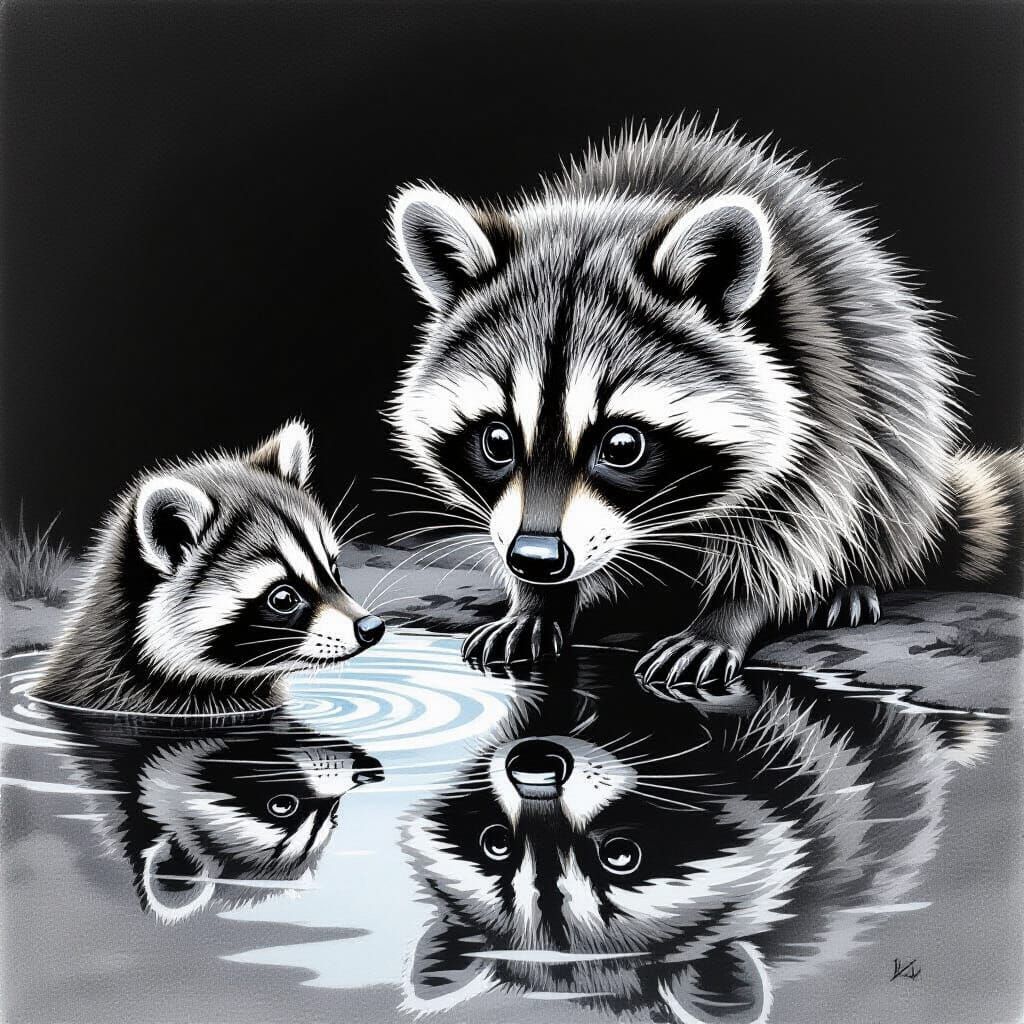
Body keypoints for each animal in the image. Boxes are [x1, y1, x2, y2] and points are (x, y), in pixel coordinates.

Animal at [387, 117, 1024, 696]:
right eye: (497, 440)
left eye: (622, 445)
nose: (536, 558)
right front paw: (537, 603)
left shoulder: (820, 392)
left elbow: (796, 525)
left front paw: (730, 614)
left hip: (896, 398)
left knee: (884, 478)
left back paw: (852, 578)